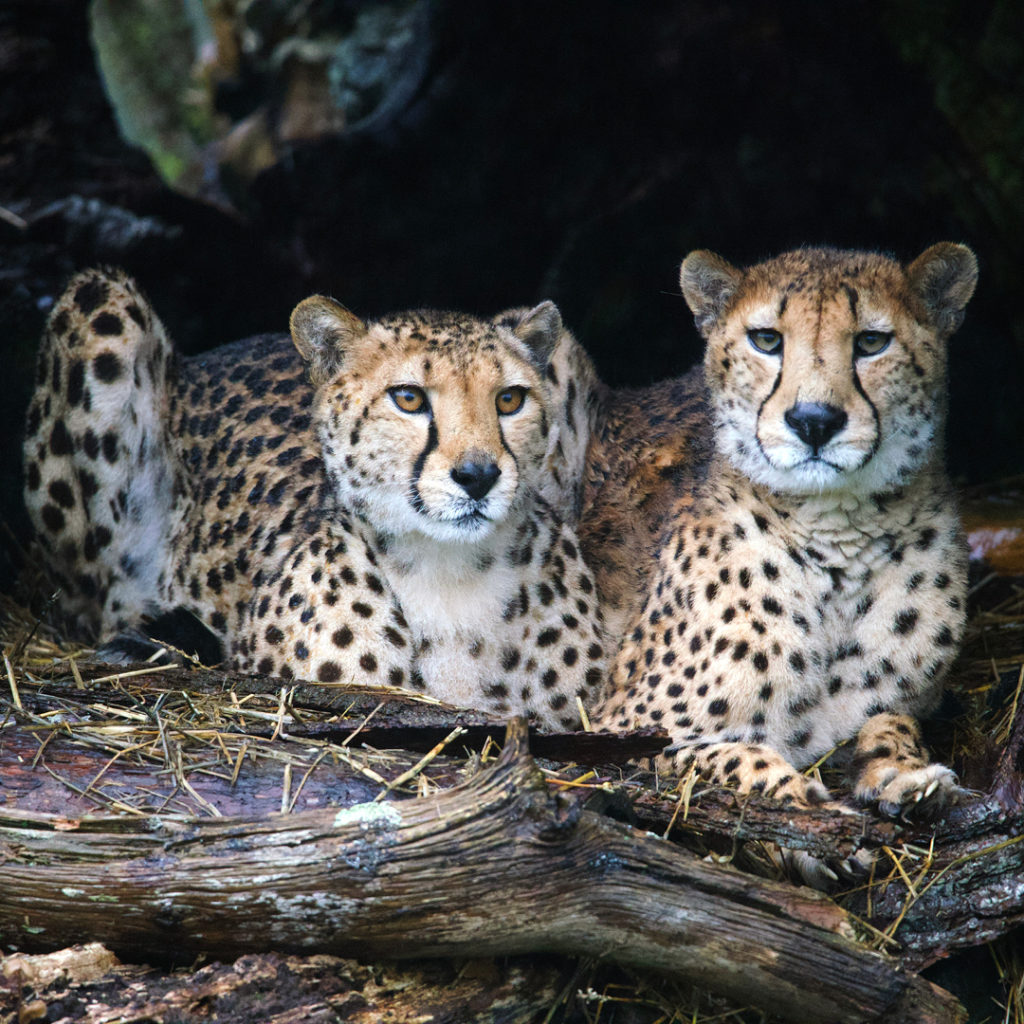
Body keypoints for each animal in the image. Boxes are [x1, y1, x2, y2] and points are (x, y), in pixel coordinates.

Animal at [589, 243, 978, 811]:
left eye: (872, 341)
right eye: (767, 340)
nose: (814, 420)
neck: (839, 541)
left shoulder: (898, 708)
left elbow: (893, 722)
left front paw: (902, 772)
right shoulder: (615, 728)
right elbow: (717, 751)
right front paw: (794, 788)